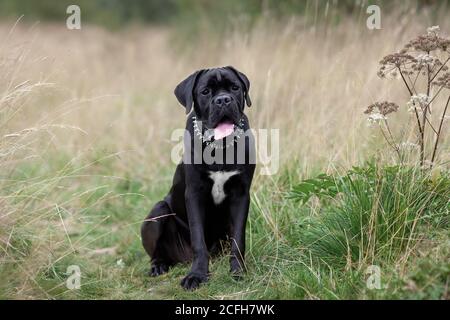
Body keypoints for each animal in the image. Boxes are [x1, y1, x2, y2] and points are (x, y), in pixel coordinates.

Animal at [142, 65, 256, 290]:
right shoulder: (194, 193)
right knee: (157, 252)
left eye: (234, 87)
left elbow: (239, 239)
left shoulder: (241, 194)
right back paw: (158, 266)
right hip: (157, 212)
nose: (223, 100)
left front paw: (238, 271)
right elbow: (198, 239)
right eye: (205, 92)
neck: (220, 147)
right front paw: (197, 274)